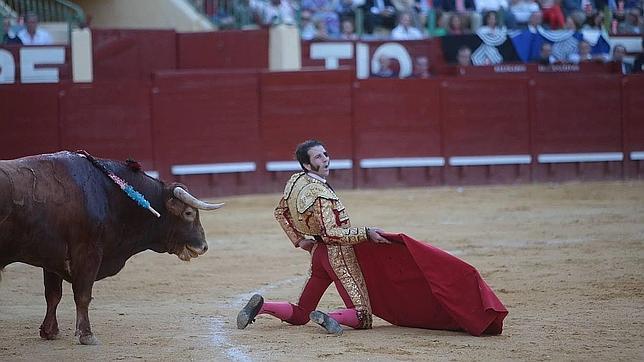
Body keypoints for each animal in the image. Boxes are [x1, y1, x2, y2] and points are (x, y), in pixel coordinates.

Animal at [0, 151, 223, 346]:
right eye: (188, 213)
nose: (203, 247)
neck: (107, 194)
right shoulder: (87, 252)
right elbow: (82, 294)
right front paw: (87, 336)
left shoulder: (52, 258)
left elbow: (53, 295)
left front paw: (49, 331)